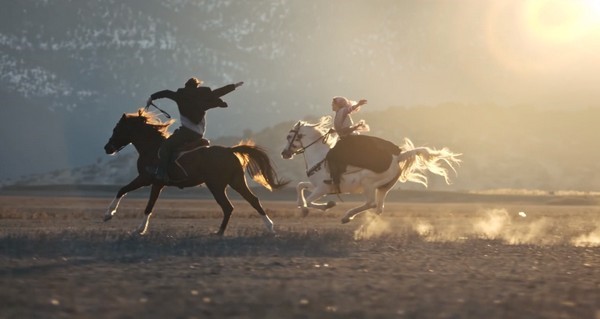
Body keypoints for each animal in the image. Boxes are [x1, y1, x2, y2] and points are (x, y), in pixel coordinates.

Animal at [103, 109, 288, 236]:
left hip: (217, 186)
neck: (152, 148)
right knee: (251, 201)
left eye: (117, 129)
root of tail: (230, 150)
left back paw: (221, 232)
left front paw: (117, 219)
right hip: (235, 182)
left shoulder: (149, 180)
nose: (107, 148)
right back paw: (266, 227)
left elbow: (138, 200)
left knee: (229, 206)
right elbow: (129, 194)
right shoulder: (153, 182)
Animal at [278, 116, 462, 224]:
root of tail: (398, 156)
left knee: (371, 203)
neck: (319, 156)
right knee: (378, 208)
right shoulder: (318, 186)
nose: (284, 153)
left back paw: (347, 216)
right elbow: (300, 187)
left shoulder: (322, 188)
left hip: (368, 183)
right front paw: (324, 204)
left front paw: (309, 209)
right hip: (383, 188)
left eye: (289, 136)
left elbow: (307, 201)